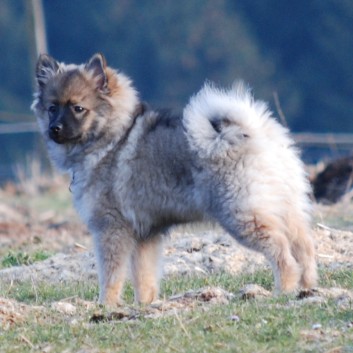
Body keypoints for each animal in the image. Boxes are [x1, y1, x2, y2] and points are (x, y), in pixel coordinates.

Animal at [31, 53, 316, 304]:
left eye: (78, 108)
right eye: (52, 108)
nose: (54, 128)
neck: (110, 137)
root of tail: (257, 134)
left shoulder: (111, 228)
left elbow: (111, 276)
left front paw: (105, 305)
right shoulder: (145, 236)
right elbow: (144, 277)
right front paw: (144, 305)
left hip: (242, 215)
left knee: (282, 251)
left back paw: (284, 289)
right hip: (287, 208)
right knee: (303, 247)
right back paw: (308, 287)